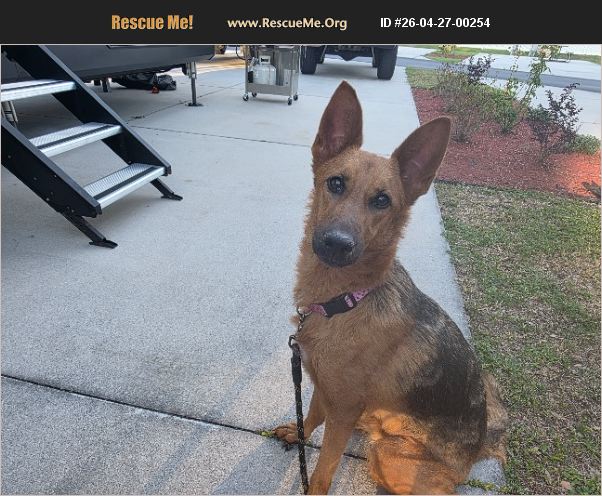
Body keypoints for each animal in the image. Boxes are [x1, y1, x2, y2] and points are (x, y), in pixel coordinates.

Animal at [274, 81, 507, 495]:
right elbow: (312, 416)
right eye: (336, 183)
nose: (336, 244)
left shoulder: (342, 408)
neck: (347, 300)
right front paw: (297, 432)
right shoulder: (324, 388)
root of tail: (477, 448)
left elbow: (322, 470)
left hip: (389, 456)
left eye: (382, 200)